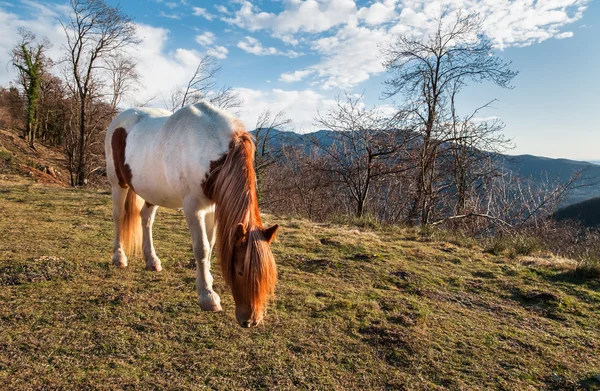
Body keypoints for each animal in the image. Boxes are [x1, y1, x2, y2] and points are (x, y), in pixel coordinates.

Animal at [103, 101, 278, 328]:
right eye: (240, 271)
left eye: (266, 276)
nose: (250, 321)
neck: (212, 146)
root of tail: (121, 118)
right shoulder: (193, 207)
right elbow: (201, 248)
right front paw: (207, 296)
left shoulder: (213, 208)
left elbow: (211, 245)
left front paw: (208, 283)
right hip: (118, 184)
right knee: (118, 216)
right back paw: (119, 257)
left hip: (151, 192)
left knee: (146, 219)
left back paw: (152, 260)